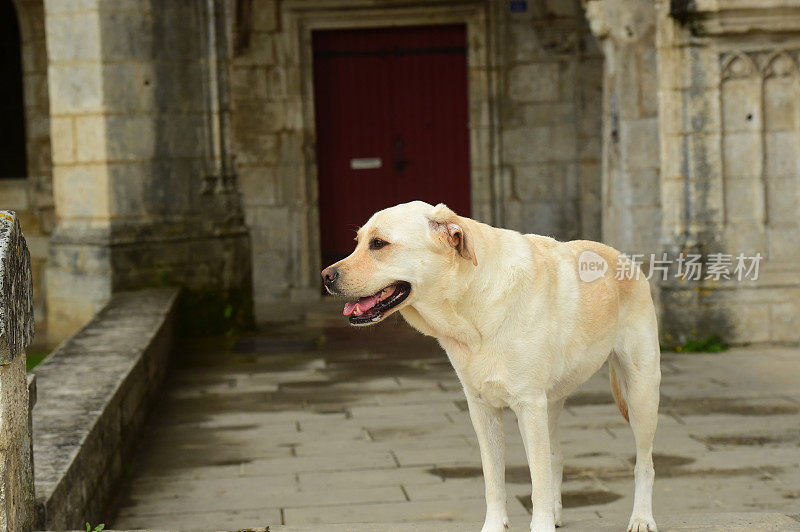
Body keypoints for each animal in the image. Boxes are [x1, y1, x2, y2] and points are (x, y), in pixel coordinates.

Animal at [322, 202, 660, 528]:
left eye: (379, 244)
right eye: (357, 242)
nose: (326, 276)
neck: (471, 304)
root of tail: (623, 257)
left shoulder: (528, 406)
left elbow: (537, 483)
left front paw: (541, 524)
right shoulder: (482, 409)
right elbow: (494, 481)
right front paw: (497, 525)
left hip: (640, 396)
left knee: (644, 464)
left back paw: (642, 518)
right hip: (552, 403)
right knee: (556, 456)